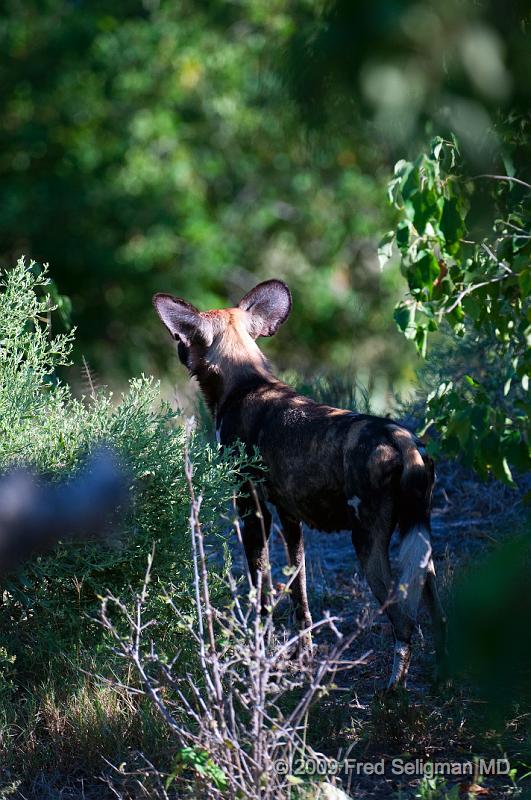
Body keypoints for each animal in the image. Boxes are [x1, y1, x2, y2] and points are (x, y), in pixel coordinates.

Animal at [154, 278, 448, 684]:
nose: (178, 349)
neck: (245, 381)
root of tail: (402, 440)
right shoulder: (290, 516)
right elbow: (300, 593)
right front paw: (304, 655)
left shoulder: (251, 508)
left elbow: (261, 592)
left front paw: (260, 654)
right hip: (418, 540)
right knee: (438, 615)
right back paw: (444, 679)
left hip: (367, 543)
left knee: (405, 622)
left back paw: (393, 695)